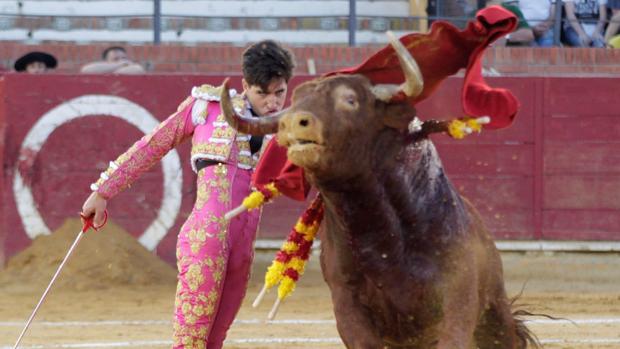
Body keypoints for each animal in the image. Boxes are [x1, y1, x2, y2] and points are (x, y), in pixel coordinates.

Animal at [220, 35, 536, 348]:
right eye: (295, 99)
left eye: (350, 99)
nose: (291, 122)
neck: (378, 233)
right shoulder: (347, 308)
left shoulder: (456, 303)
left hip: (494, 316)